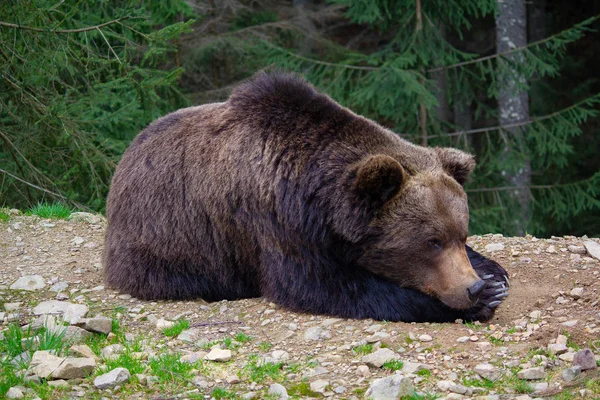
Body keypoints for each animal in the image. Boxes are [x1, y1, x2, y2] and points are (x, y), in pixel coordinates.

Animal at [103, 71, 506, 322]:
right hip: (168, 238)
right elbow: (319, 286)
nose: (470, 288)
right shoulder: (276, 222)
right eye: (430, 241)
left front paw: (494, 276)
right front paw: (477, 302)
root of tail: (124, 159)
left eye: (460, 235)